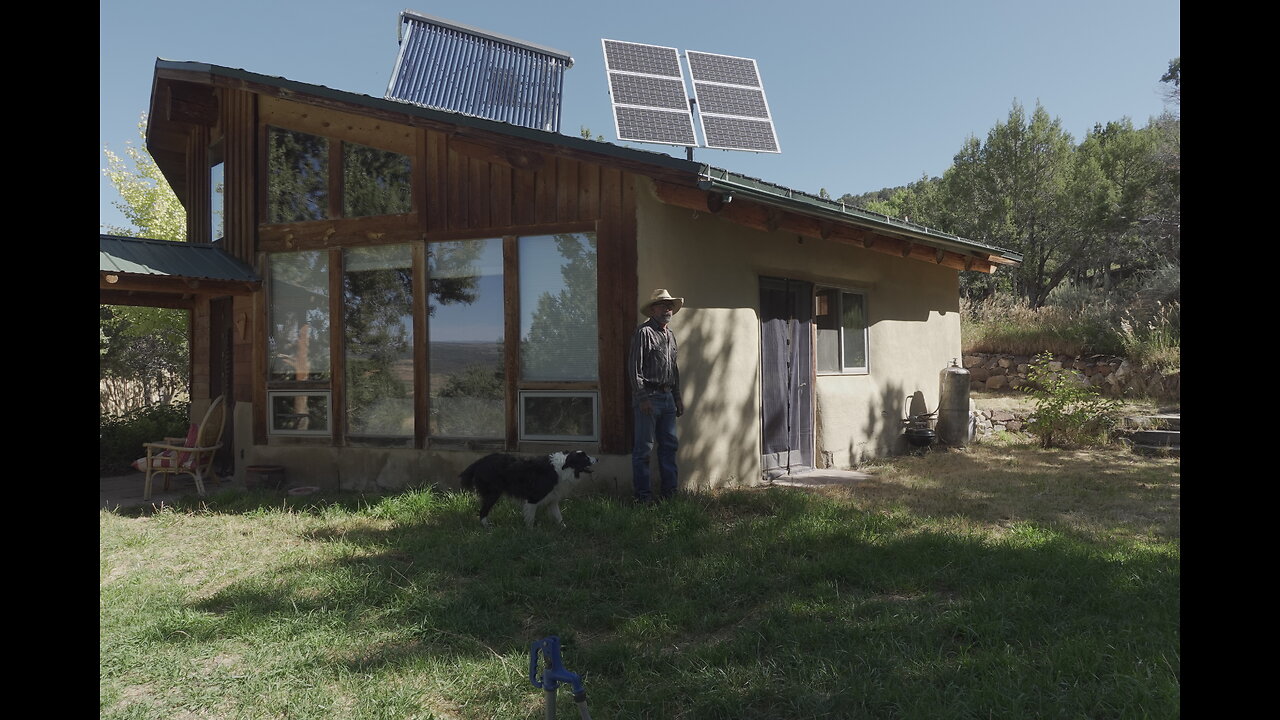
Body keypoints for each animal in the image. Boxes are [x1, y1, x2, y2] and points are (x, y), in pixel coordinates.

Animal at [460, 448, 599, 527]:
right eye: (585, 457)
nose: (597, 459)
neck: (562, 468)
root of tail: (480, 461)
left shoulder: (552, 500)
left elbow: (559, 517)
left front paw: (564, 528)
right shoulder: (533, 498)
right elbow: (530, 520)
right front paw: (530, 534)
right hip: (492, 494)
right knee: (483, 512)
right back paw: (488, 528)